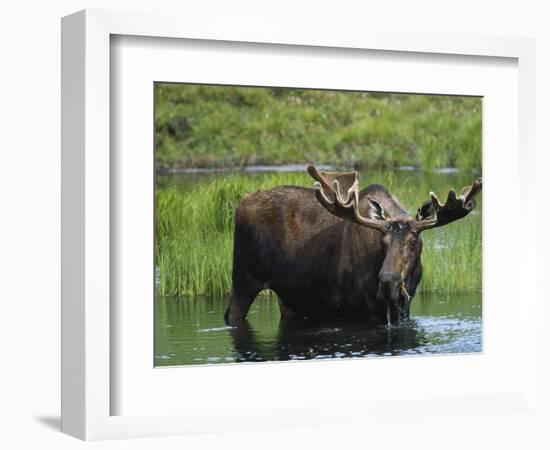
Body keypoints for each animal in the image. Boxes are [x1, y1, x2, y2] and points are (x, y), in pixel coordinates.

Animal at [224, 165, 484, 326]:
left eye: (413, 241)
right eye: (383, 242)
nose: (387, 284)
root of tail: (240, 205)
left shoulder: (404, 306)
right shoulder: (363, 308)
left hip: (290, 298)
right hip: (244, 279)